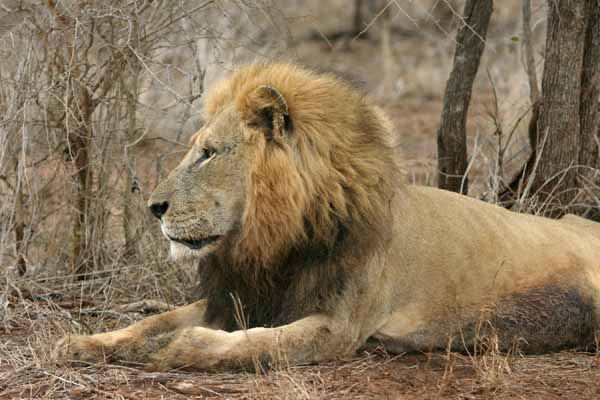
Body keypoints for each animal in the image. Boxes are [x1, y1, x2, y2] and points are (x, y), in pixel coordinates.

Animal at [56, 63, 600, 372]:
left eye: (208, 153)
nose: (153, 207)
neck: (271, 241)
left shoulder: (340, 326)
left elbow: (253, 347)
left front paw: (176, 349)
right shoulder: (240, 297)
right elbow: (150, 322)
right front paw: (81, 343)